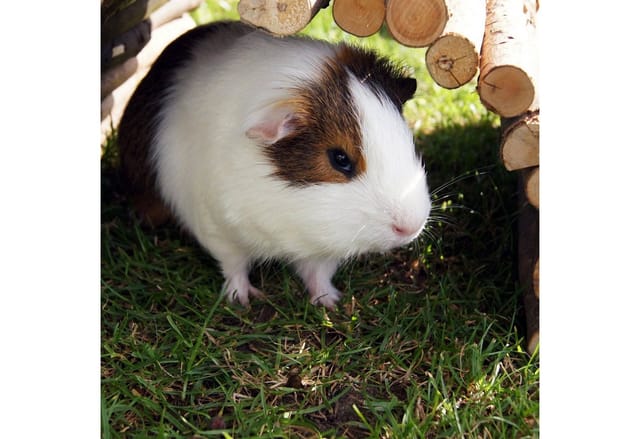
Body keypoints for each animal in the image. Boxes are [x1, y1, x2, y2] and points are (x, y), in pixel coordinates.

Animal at [118, 21, 431, 309]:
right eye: (340, 159)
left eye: (407, 139)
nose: (410, 227)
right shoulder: (215, 227)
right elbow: (234, 265)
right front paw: (243, 300)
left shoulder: (320, 249)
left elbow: (318, 272)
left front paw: (330, 303)